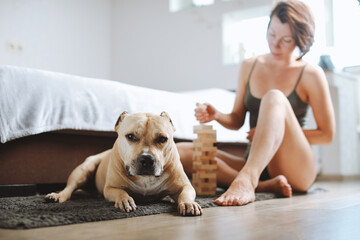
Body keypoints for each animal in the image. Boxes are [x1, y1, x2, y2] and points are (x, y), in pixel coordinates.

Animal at [45, 111, 202, 217]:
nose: (147, 159)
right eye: (130, 136)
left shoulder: (184, 186)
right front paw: (125, 200)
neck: (146, 180)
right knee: (69, 188)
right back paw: (57, 195)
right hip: (83, 170)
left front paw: (188, 203)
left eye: (163, 139)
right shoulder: (110, 188)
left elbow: (186, 193)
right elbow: (120, 192)